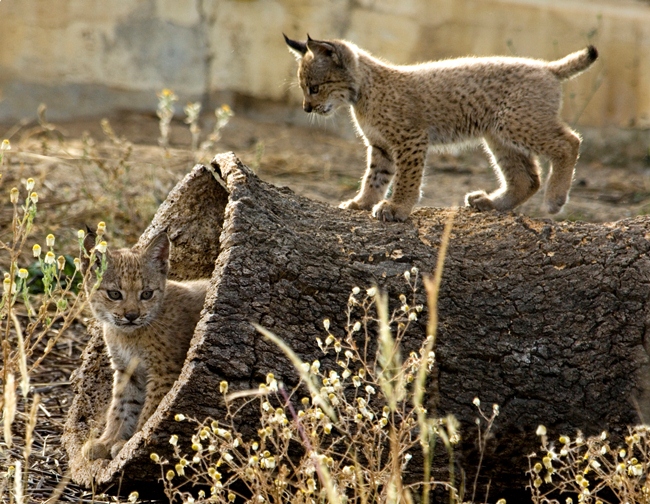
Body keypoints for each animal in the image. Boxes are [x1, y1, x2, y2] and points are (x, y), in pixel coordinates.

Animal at [81, 232, 208, 460]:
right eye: (115, 294)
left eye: (147, 294)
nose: (132, 315)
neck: (128, 335)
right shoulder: (127, 369)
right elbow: (121, 405)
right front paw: (108, 441)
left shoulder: (164, 372)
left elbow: (152, 410)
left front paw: (131, 442)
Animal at [284, 34, 596, 221]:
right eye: (303, 88)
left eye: (314, 88)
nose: (307, 108)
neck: (361, 93)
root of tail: (546, 68)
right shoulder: (381, 146)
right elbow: (374, 177)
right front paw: (362, 202)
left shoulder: (411, 139)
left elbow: (407, 177)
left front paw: (397, 207)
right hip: (498, 134)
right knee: (527, 178)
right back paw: (491, 204)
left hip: (517, 123)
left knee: (570, 142)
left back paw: (555, 198)